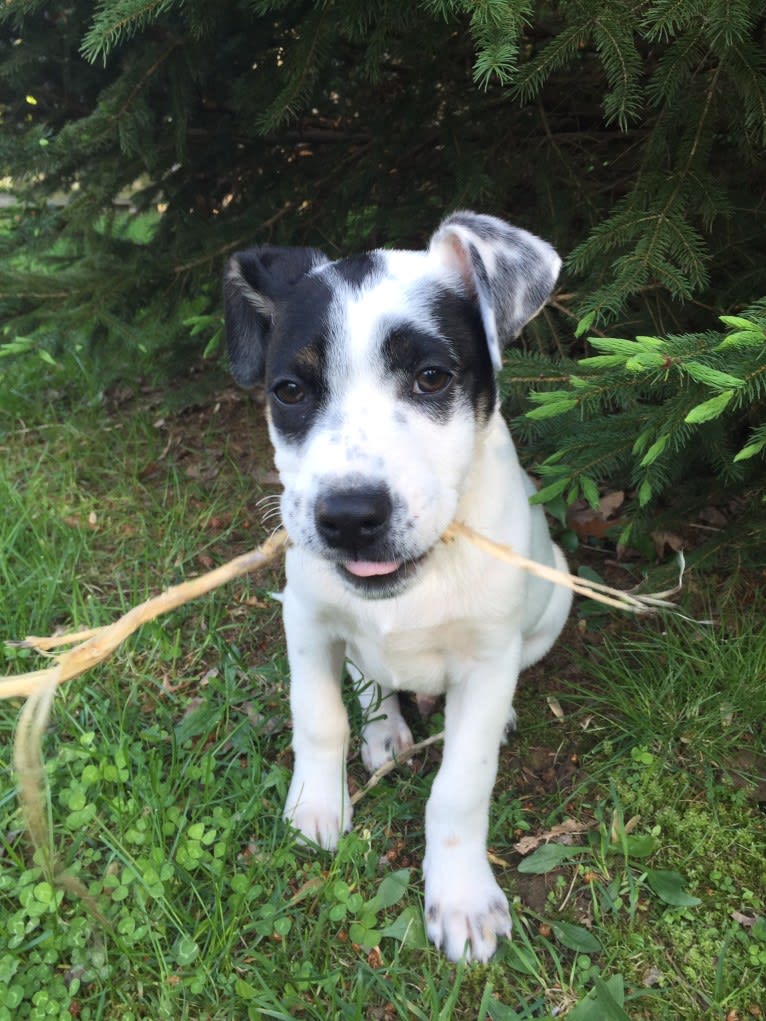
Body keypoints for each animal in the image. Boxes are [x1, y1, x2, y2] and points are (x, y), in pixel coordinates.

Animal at [224, 211, 571, 959]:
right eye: (289, 391)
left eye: (432, 377)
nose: (350, 517)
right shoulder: (306, 620)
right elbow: (319, 716)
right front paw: (315, 805)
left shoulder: (488, 654)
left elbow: (461, 784)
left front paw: (462, 898)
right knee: (369, 681)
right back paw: (385, 730)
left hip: (554, 594)